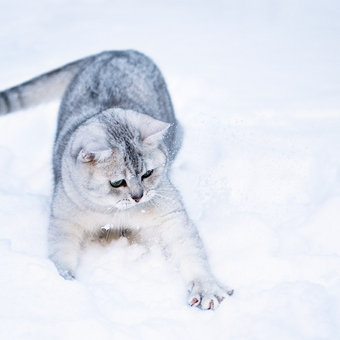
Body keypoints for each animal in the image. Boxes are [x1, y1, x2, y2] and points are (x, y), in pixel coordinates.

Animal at [0, 49, 232, 308]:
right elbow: (60, 253)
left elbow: (191, 251)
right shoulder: (64, 220)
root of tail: (114, 51)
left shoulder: (171, 215)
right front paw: (63, 283)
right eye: (117, 182)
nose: (139, 197)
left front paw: (206, 288)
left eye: (147, 173)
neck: (114, 213)